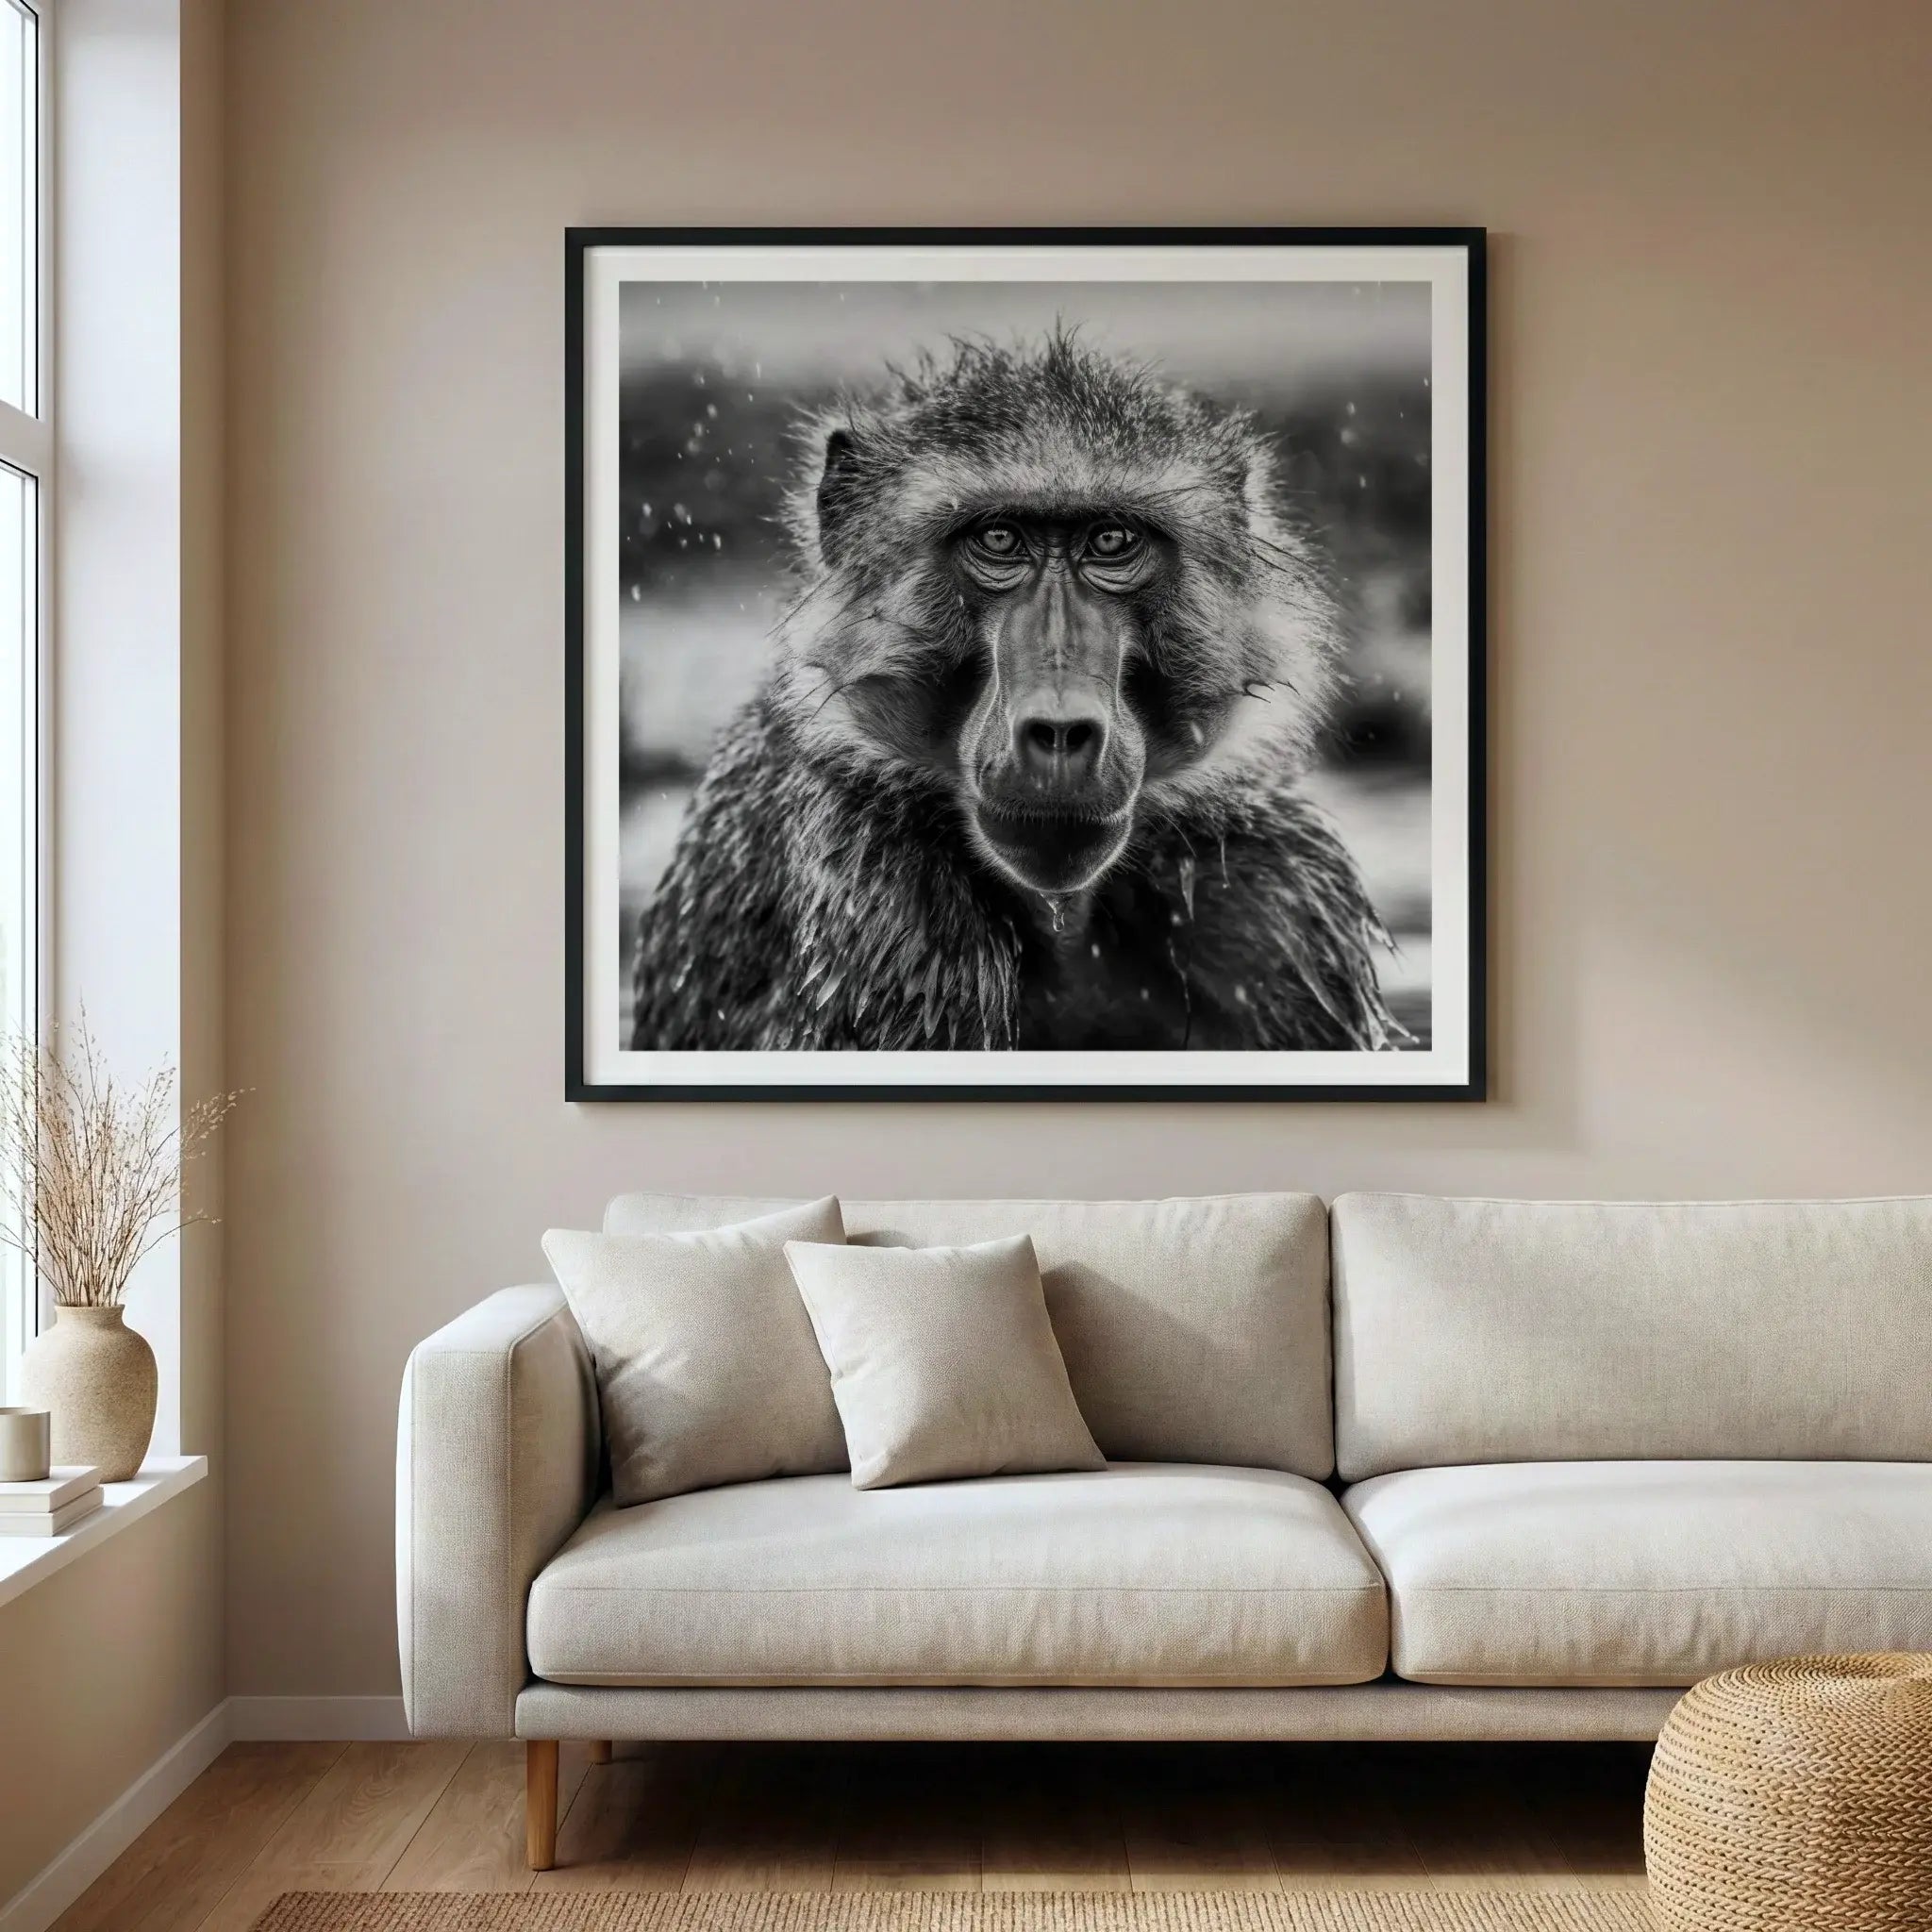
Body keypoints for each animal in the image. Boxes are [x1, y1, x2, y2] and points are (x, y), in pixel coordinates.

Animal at [629, 331, 1403, 1055]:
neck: (1068, 919)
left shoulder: (1275, 900)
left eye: (1111, 542)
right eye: (1000, 540)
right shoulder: (883, 905)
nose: (1059, 729)